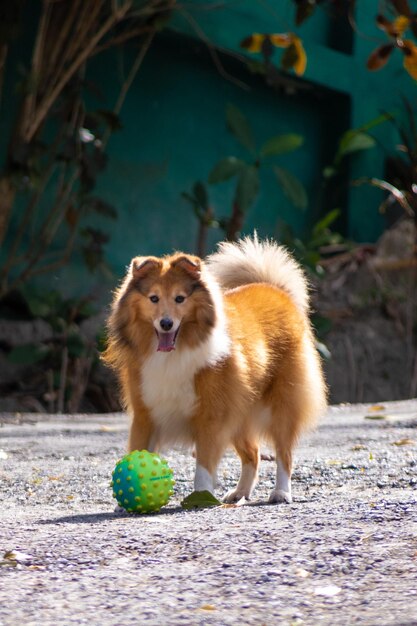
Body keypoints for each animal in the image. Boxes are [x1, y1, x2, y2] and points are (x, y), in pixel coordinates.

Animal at [103, 234, 324, 502]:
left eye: (180, 298)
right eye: (153, 298)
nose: (166, 324)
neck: (174, 353)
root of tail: (275, 289)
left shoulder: (210, 414)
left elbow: (205, 461)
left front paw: (201, 494)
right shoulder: (146, 411)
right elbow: (139, 447)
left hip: (281, 405)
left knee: (284, 453)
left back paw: (280, 492)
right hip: (240, 411)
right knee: (253, 453)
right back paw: (240, 493)